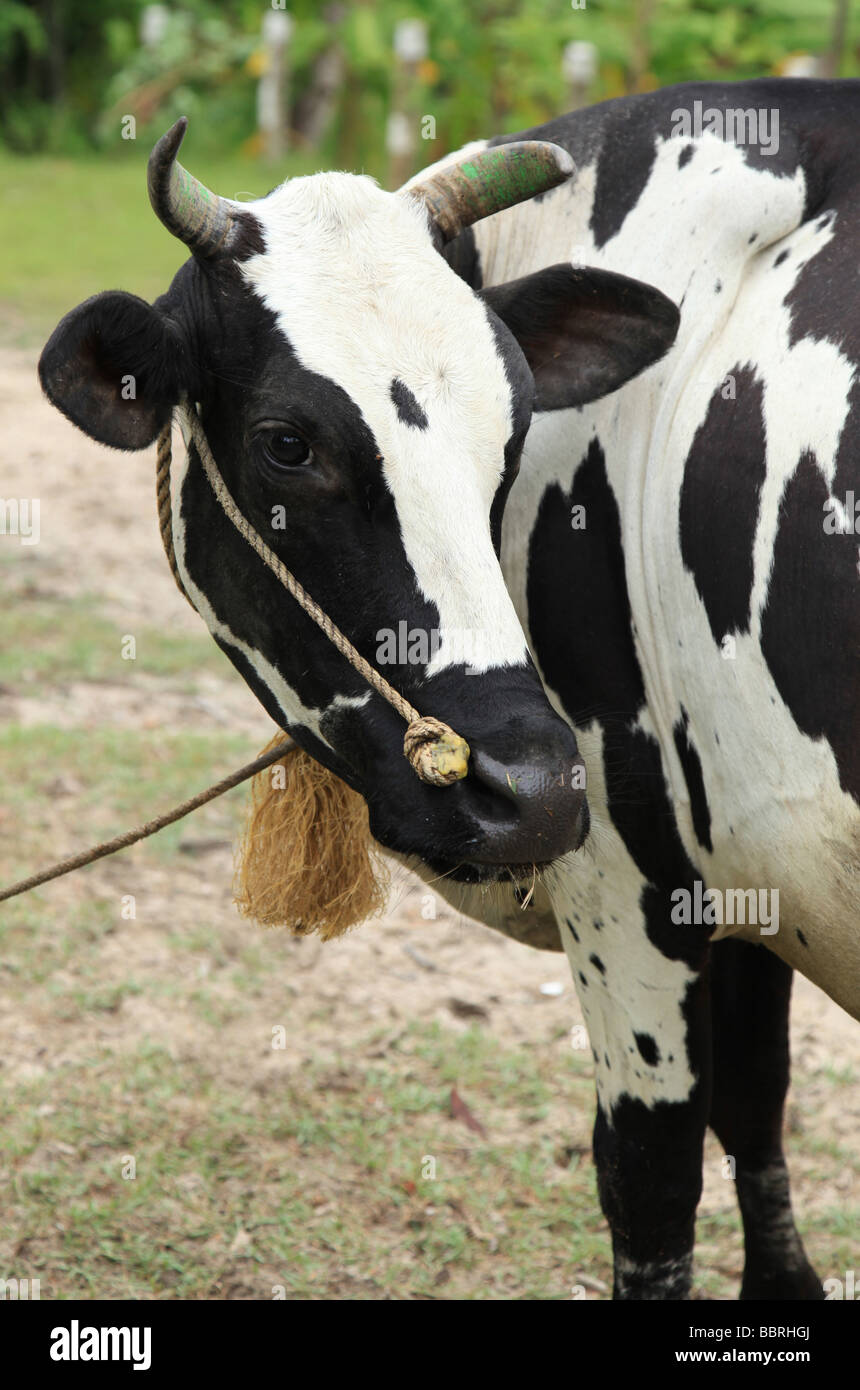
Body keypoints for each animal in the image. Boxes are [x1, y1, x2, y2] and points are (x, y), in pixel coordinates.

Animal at [36, 76, 855, 1295]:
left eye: (511, 429)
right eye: (287, 443)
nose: (530, 788)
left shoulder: (633, 883)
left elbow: (652, 1188)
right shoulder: (742, 887)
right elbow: (755, 1109)